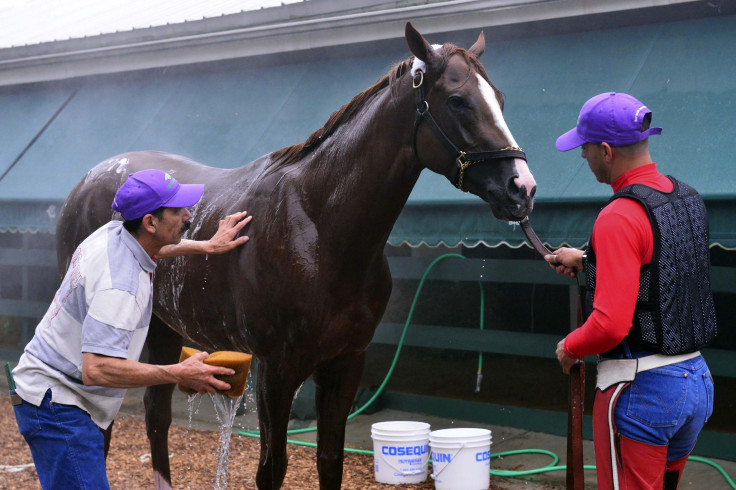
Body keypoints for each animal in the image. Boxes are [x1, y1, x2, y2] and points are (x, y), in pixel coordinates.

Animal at [56, 22, 536, 490]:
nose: (522, 188)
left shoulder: (346, 363)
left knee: (156, 416)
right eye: (458, 100)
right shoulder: (275, 369)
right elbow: (272, 468)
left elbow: (329, 460)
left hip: (161, 329)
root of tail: (89, 180)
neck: (320, 228)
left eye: (500, 100)